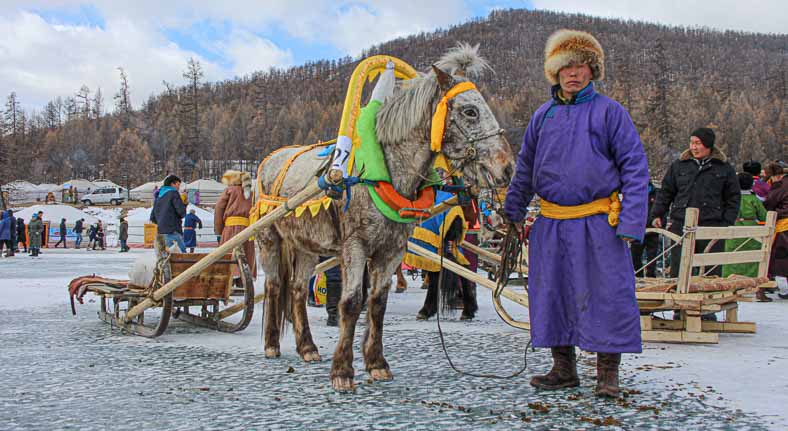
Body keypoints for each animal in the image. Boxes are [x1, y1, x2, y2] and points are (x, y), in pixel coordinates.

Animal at [251, 44, 510, 392]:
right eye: (470, 111)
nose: (506, 166)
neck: (382, 171)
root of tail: (270, 160)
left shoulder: (391, 251)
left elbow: (376, 303)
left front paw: (376, 363)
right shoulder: (355, 248)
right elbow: (350, 302)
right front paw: (343, 370)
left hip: (305, 245)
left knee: (297, 288)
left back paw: (307, 347)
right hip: (269, 239)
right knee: (275, 285)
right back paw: (271, 344)